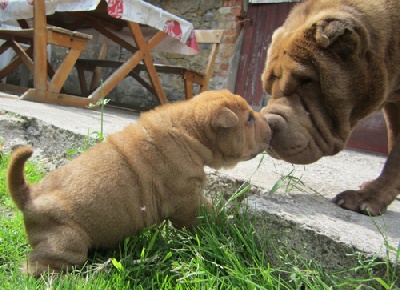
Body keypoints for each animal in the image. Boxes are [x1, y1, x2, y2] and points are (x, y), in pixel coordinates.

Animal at [7, 90, 272, 276]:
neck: (188, 130)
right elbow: (208, 215)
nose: (271, 125)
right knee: (36, 268)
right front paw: (228, 227)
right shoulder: (186, 200)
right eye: (249, 119)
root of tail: (28, 197)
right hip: (67, 241)